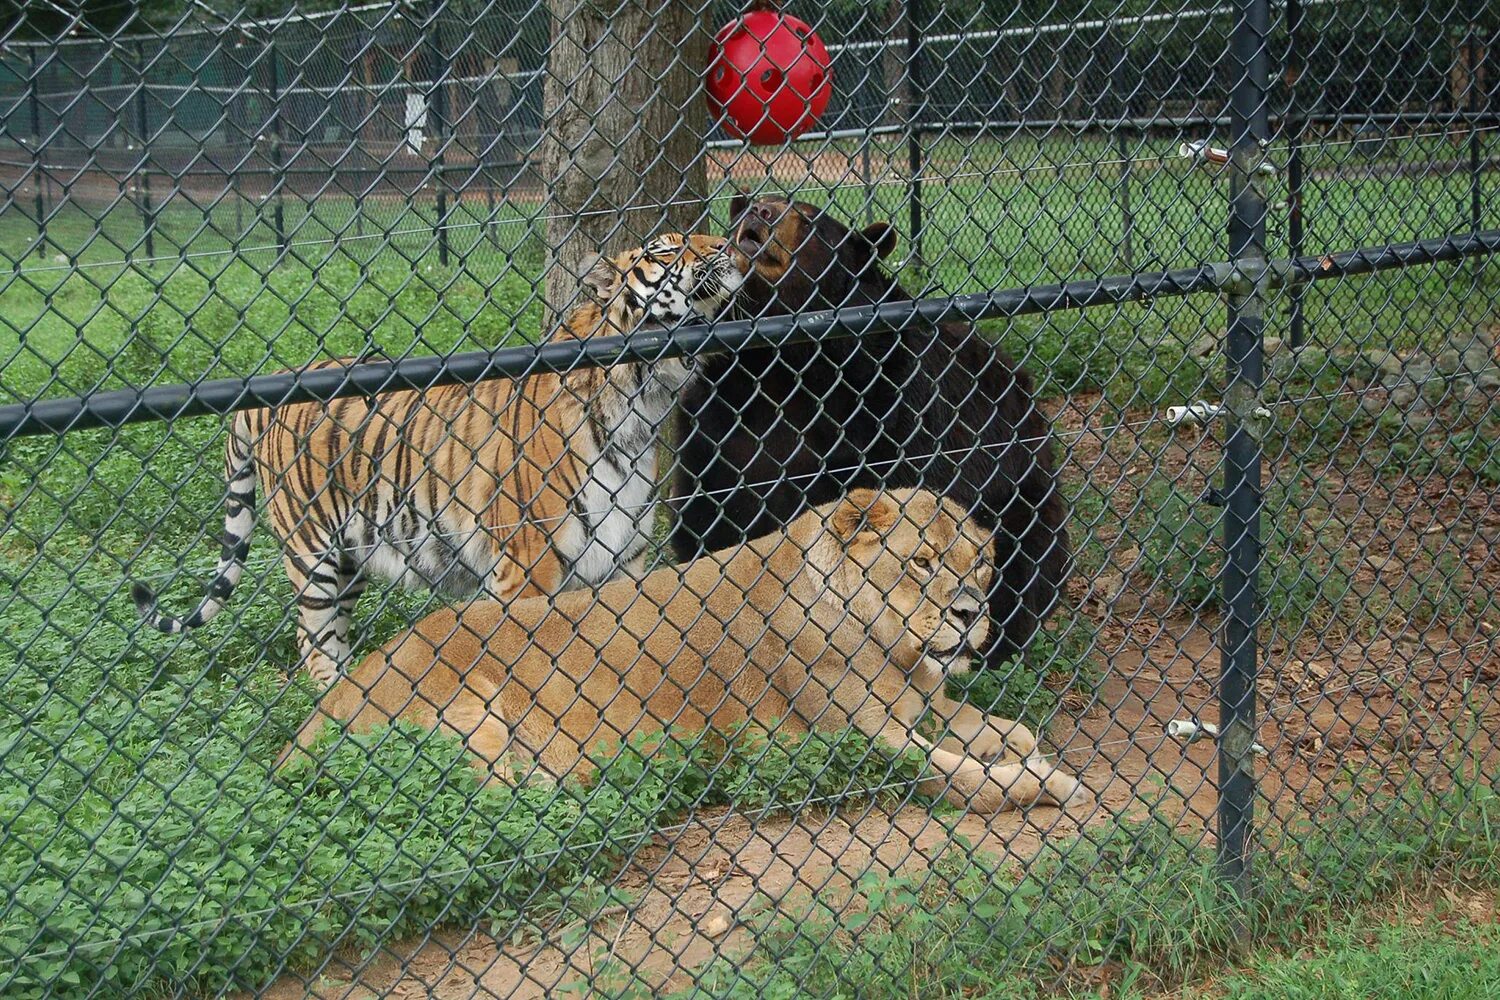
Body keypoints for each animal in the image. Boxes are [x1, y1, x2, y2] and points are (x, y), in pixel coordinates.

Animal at [132, 233, 747, 689]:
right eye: (666, 250)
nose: (730, 242)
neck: (644, 397)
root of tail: (270, 388)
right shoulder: (527, 569)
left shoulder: (625, 561)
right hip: (312, 555)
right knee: (314, 643)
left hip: (352, 558)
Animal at [283, 491, 1080, 815]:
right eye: (920, 562)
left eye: (980, 565)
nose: (970, 613)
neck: (898, 652)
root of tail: (309, 726)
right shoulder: (857, 742)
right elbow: (963, 774)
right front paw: (1045, 783)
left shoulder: (923, 708)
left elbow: (998, 727)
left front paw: (1021, 747)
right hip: (466, 704)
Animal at [675, 191, 1074, 668]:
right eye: (751, 205)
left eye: (809, 218)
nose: (759, 212)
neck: (789, 369)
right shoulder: (723, 418)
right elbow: (717, 514)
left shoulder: (892, 411)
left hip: (1022, 493)